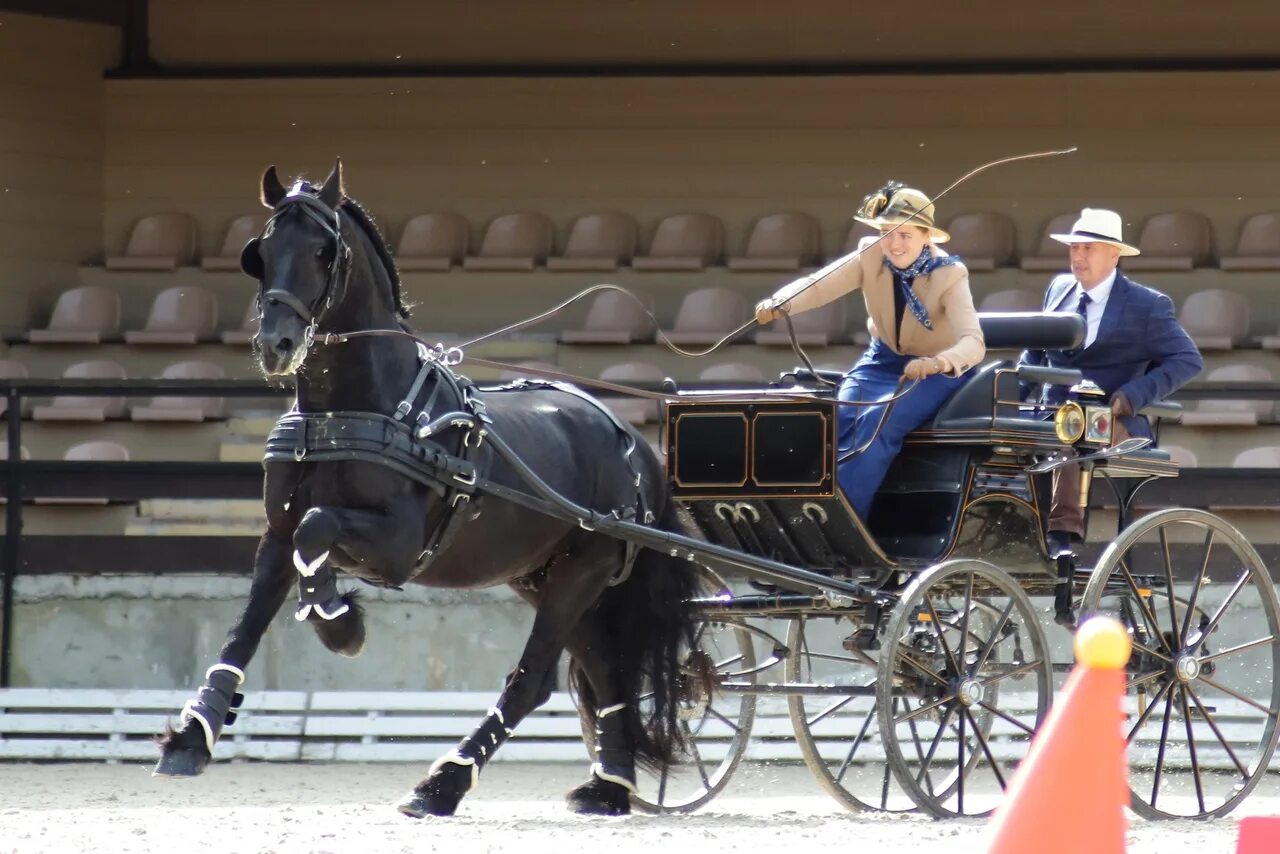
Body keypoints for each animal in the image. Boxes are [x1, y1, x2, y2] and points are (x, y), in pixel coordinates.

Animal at [157, 163, 711, 819]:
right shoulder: (277, 533)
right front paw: (193, 736)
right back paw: (608, 788)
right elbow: (244, 629)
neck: (353, 409)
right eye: (260, 252)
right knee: (606, 668)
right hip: (551, 576)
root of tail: (631, 439)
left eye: (322, 250)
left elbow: (320, 529)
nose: (276, 345)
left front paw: (341, 625)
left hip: (581, 573)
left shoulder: (395, 544)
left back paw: (444, 782)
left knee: (534, 680)